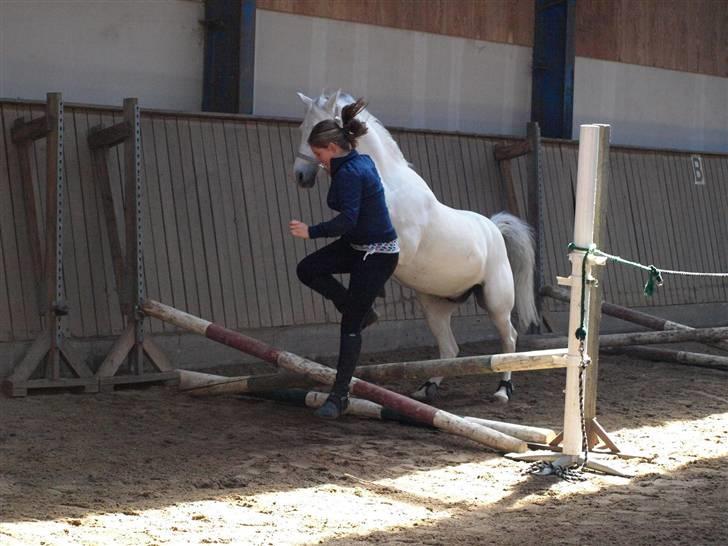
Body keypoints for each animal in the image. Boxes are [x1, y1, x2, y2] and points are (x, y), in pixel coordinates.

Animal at [292, 90, 536, 400]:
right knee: (450, 348)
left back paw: (503, 390)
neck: (388, 185)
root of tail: (493, 226)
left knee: (509, 340)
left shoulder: (400, 250)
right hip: (435, 307)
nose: (300, 176)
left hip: (496, 301)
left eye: (315, 129)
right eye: (302, 128)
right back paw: (426, 387)